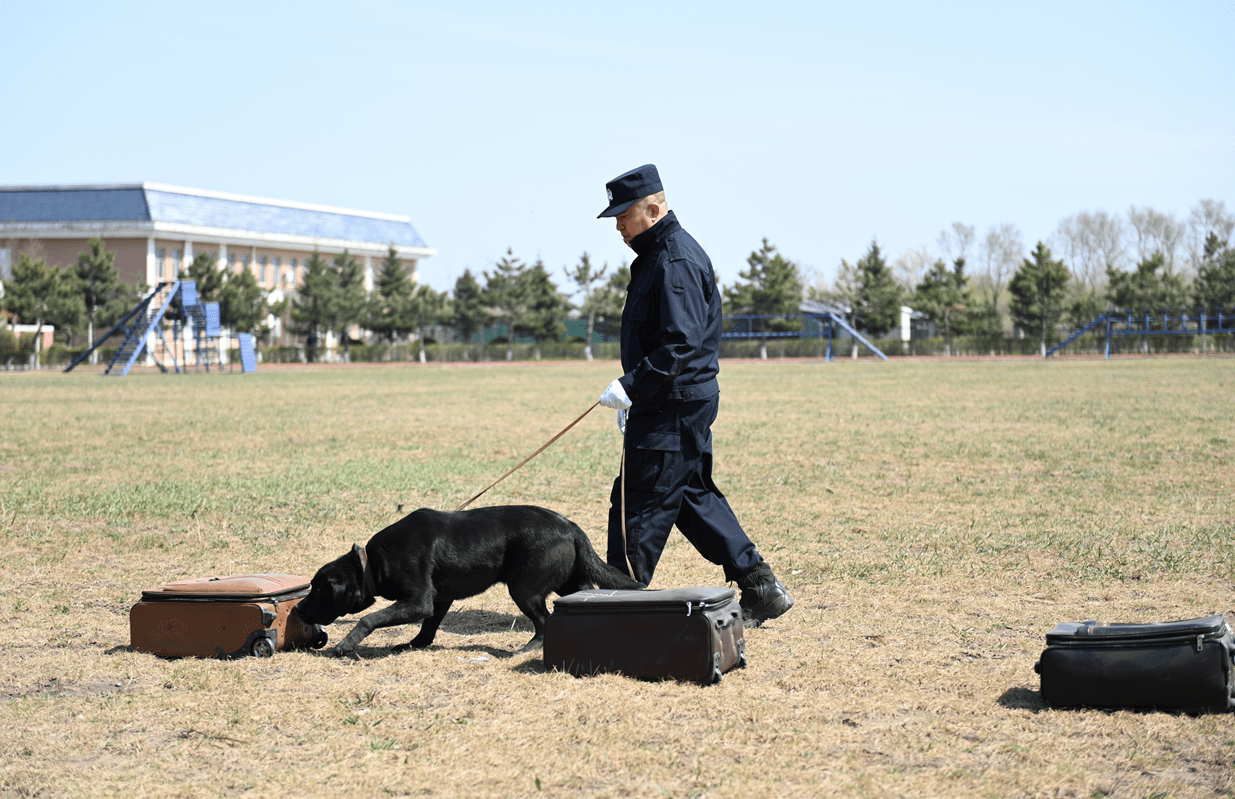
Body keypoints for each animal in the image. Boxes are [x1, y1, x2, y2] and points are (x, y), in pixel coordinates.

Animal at [292, 506, 642, 656]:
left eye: (318, 590)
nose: (296, 610)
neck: (370, 565)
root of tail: (572, 527)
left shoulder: (418, 600)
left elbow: (369, 619)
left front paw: (346, 645)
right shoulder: (438, 599)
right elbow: (429, 626)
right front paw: (415, 645)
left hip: (524, 587)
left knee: (544, 620)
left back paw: (527, 648)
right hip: (566, 582)